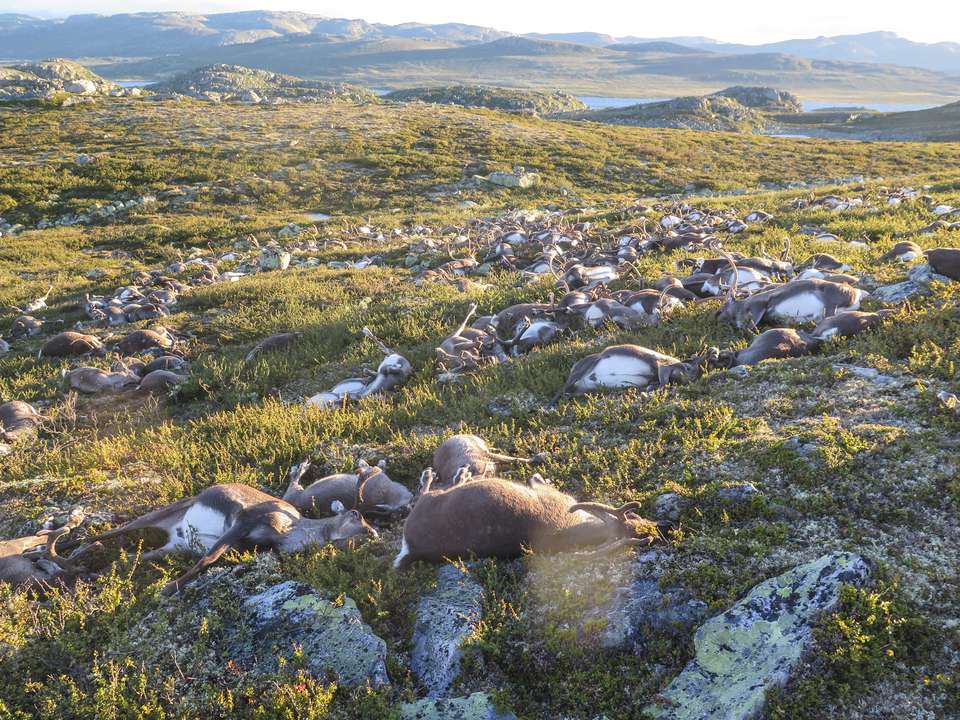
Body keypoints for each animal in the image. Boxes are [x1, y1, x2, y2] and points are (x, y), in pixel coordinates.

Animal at [393, 470, 666, 569]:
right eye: (634, 514)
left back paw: (452, 475)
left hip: (430, 502)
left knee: (424, 492)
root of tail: (412, 549)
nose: (659, 528)